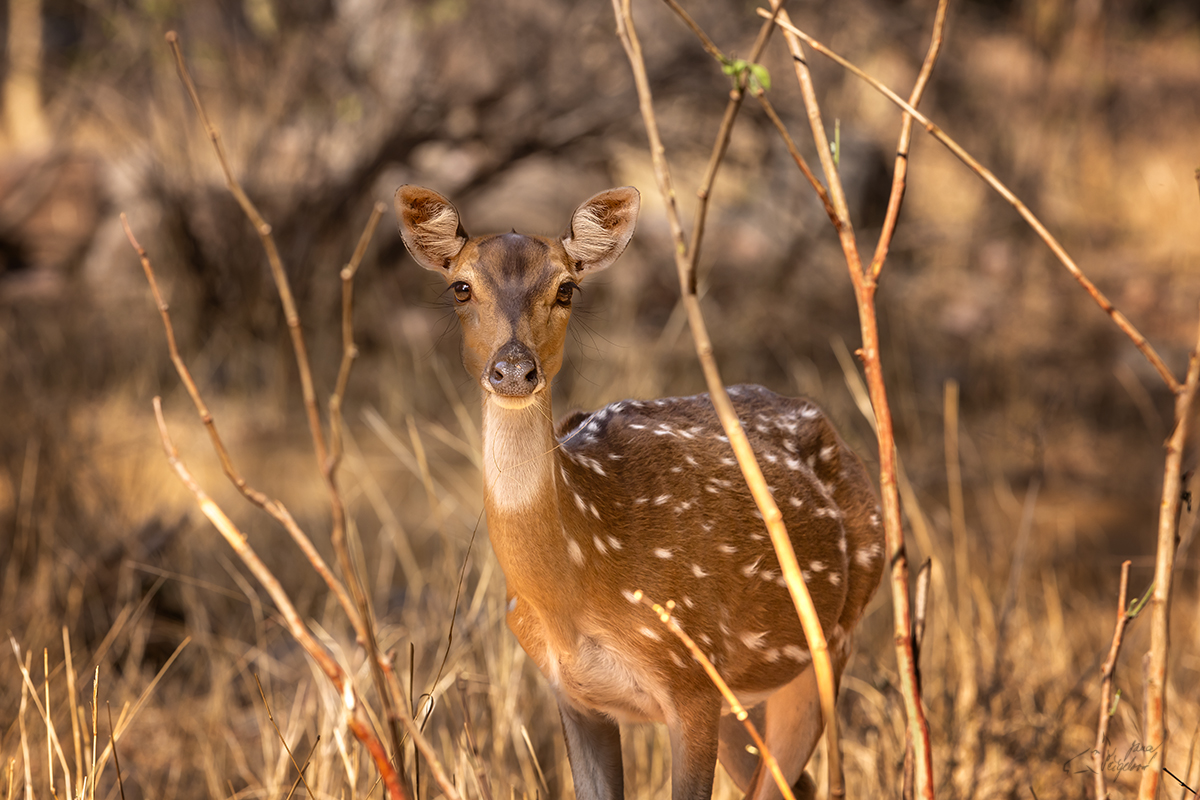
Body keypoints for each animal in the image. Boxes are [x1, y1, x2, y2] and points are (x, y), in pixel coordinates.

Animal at [393, 184, 883, 796]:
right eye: (461, 286)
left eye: (566, 288)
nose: (513, 369)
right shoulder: (574, 694)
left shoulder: (692, 675)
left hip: (830, 642)